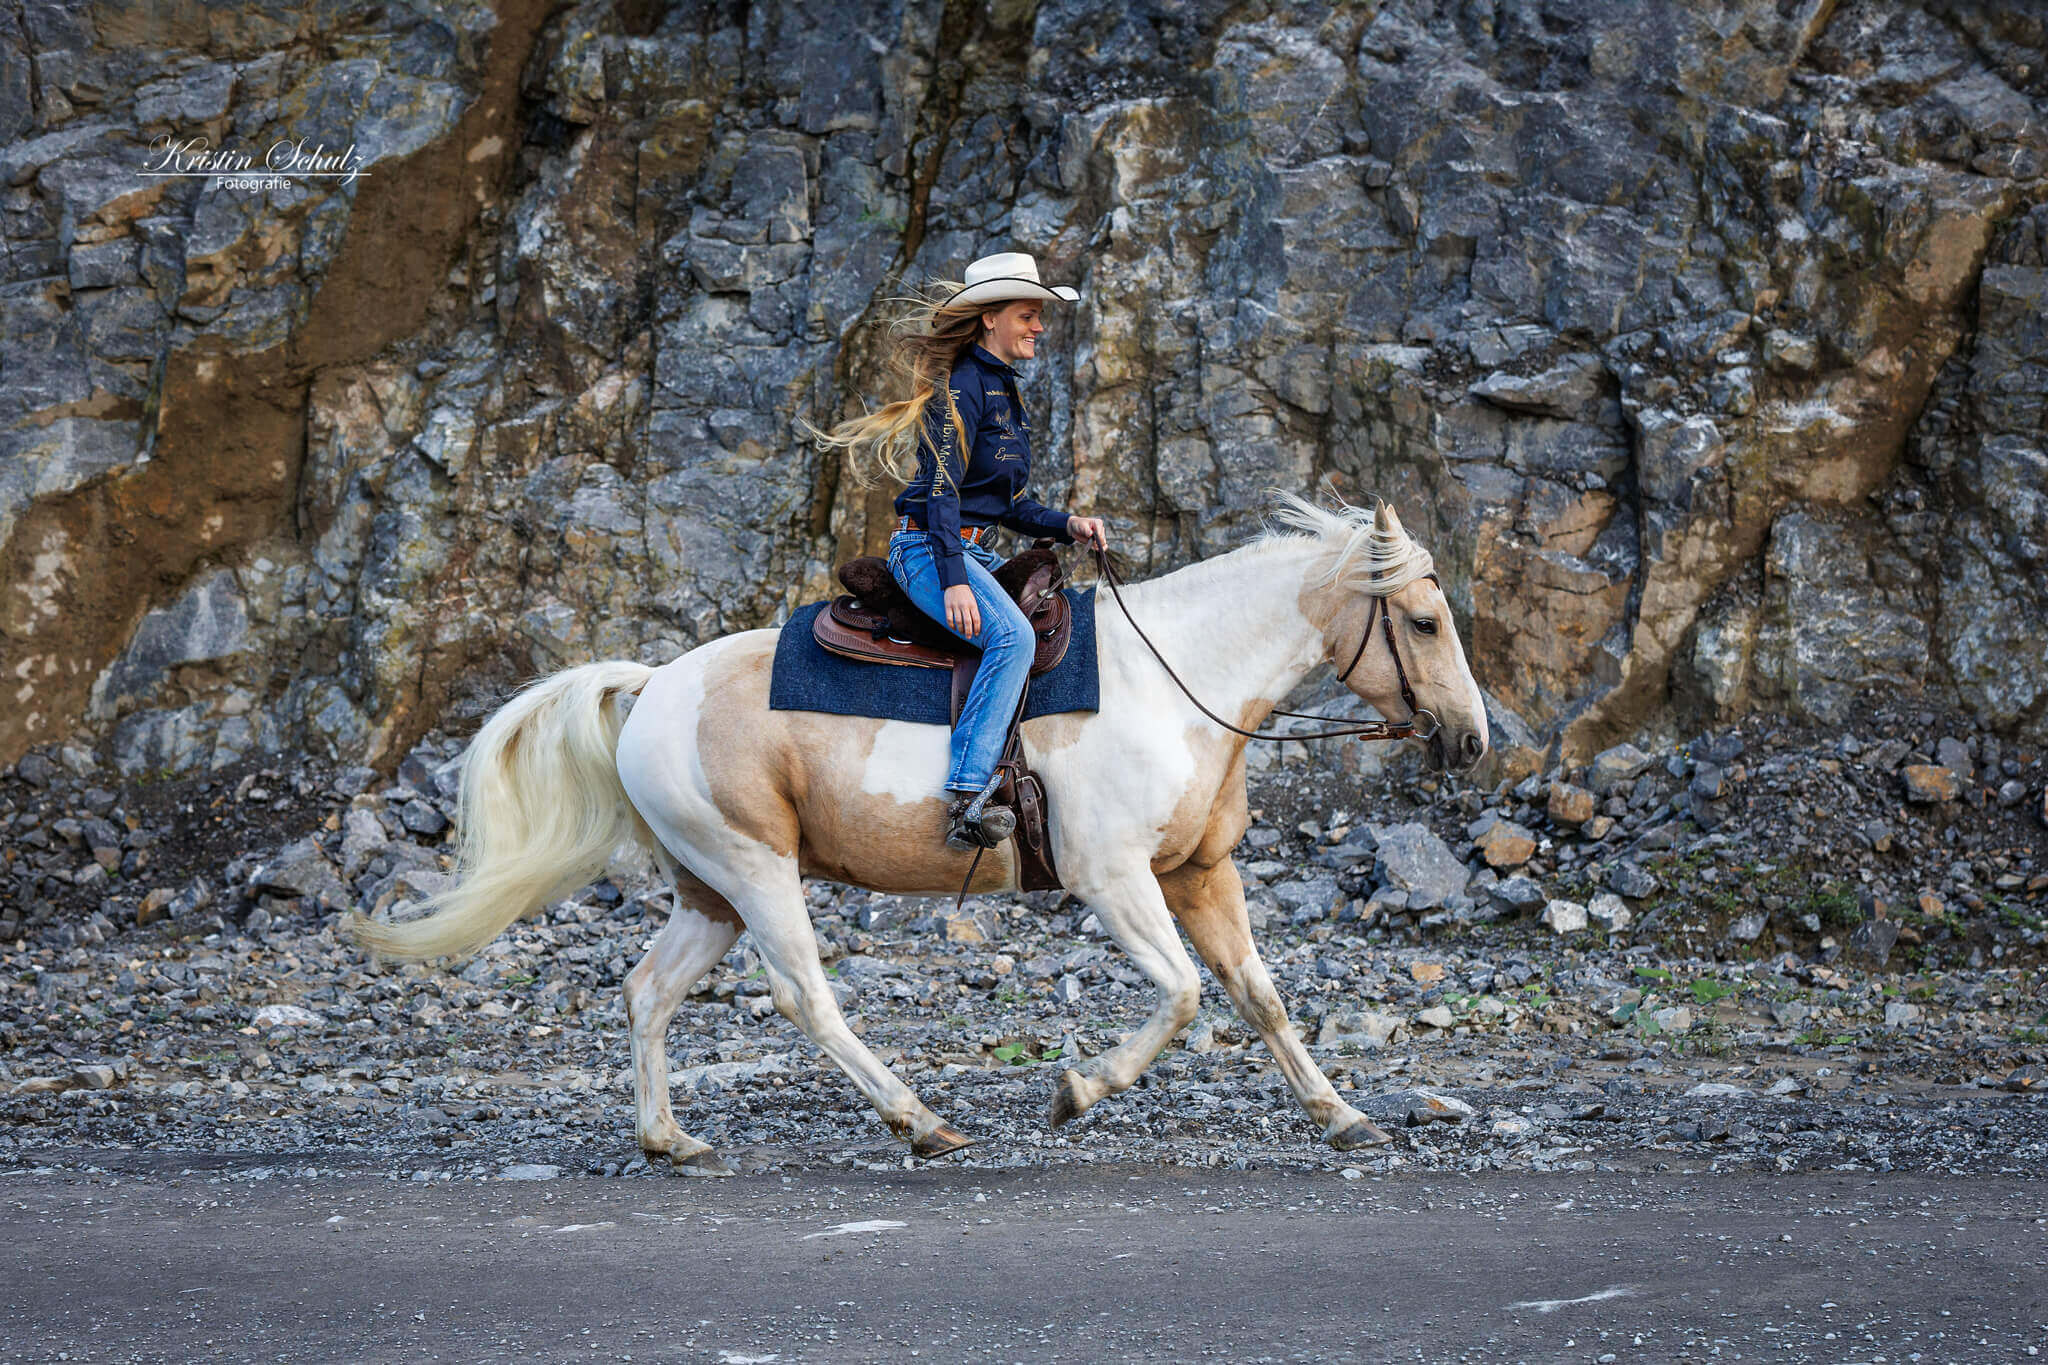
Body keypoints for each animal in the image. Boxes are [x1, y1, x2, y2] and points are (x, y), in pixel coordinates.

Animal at [347, 493, 1489, 1174]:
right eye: (1423, 621)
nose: (1473, 739)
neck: (1175, 681)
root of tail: (651, 685)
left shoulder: (1199, 874)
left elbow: (1259, 997)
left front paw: (1340, 1115)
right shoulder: (1111, 877)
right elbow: (1180, 996)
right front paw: (1075, 1090)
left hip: (709, 893)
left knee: (647, 991)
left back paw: (670, 1137)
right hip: (755, 870)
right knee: (804, 997)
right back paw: (921, 1120)